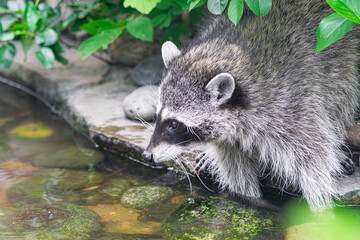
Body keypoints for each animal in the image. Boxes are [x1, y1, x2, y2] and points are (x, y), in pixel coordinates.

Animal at [142, 0, 358, 212]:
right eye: (157, 115)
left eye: (174, 124)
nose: (147, 155)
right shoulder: (228, 138)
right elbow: (237, 171)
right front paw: (248, 198)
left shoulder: (294, 105)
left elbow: (313, 158)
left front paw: (322, 208)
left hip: (341, 55)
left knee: (340, 95)